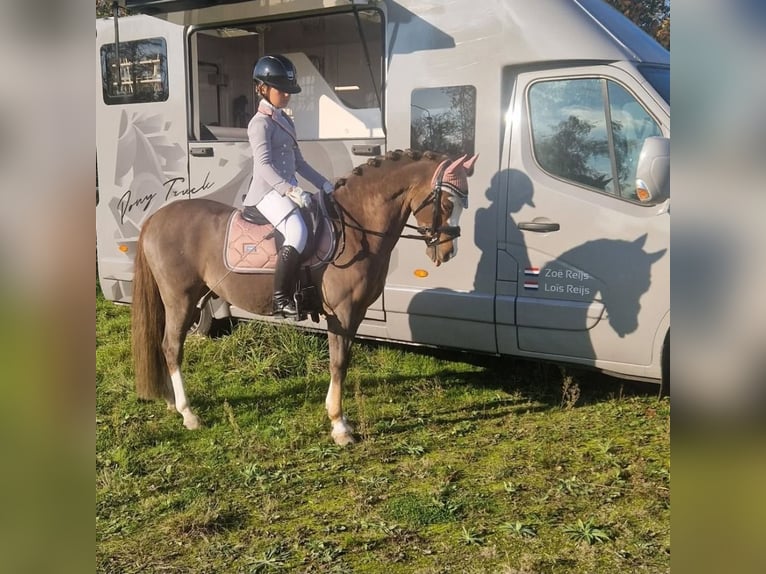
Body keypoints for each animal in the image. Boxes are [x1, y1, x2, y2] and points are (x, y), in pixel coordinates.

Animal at [131, 149, 478, 445]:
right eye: (447, 203)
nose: (447, 252)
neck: (356, 230)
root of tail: (156, 218)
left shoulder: (355, 314)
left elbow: (342, 360)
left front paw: (337, 418)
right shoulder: (342, 312)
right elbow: (338, 362)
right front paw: (339, 426)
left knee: (164, 345)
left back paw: (170, 403)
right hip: (180, 299)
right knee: (171, 347)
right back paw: (188, 414)